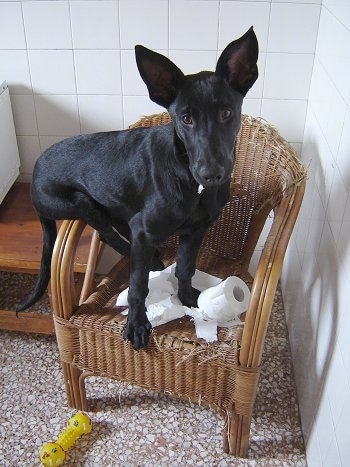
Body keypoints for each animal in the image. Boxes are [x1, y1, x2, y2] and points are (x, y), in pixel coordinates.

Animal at [17, 27, 258, 350]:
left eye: (226, 113)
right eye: (186, 118)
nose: (212, 174)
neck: (189, 180)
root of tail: (34, 175)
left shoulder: (196, 229)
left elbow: (185, 267)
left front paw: (187, 297)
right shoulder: (145, 230)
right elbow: (137, 286)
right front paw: (137, 323)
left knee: (119, 225)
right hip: (79, 201)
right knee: (108, 233)